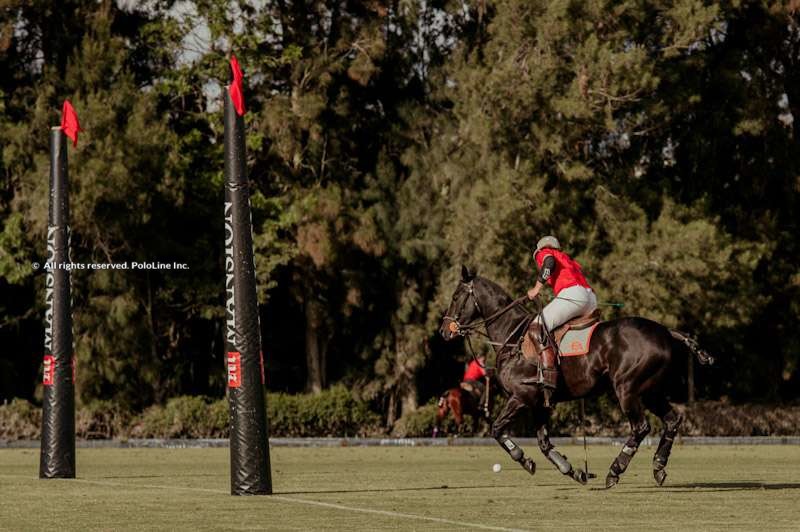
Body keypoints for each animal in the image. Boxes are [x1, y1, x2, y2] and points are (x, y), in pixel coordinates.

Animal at [440, 268, 716, 488]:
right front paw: (575, 472)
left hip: (627, 387)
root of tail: (665, 330)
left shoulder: (522, 396)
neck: (512, 337)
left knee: (641, 427)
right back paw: (658, 467)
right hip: (650, 391)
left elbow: (497, 429)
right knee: (672, 420)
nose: (444, 331)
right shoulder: (540, 403)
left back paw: (615, 471)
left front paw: (525, 461)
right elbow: (544, 443)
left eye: (455, 297)